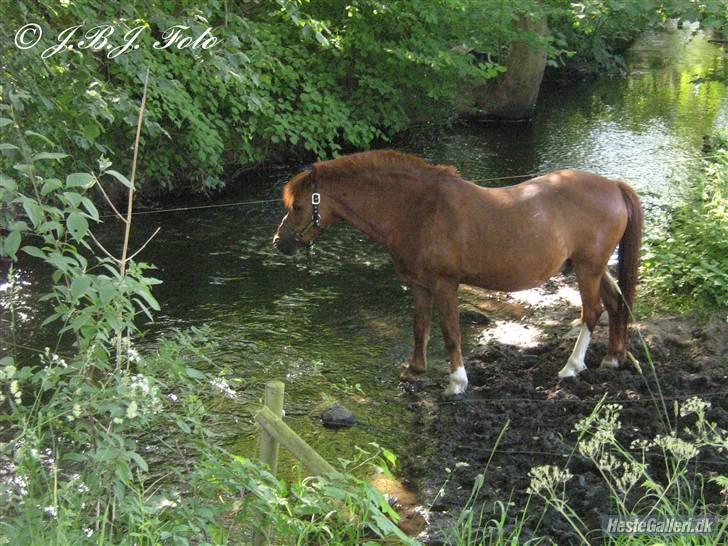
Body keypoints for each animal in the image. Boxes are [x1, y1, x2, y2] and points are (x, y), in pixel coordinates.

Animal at [274, 151, 644, 394]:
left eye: (299, 206)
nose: (279, 243)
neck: (419, 210)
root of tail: (613, 186)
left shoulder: (445, 285)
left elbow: (450, 332)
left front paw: (456, 383)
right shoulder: (420, 286)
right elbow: (420, 328)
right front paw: (413, 371)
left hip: (587, 268)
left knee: (592, 312)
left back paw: (571, 368)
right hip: (593, 268)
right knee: (616, 304)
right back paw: (612, 359)